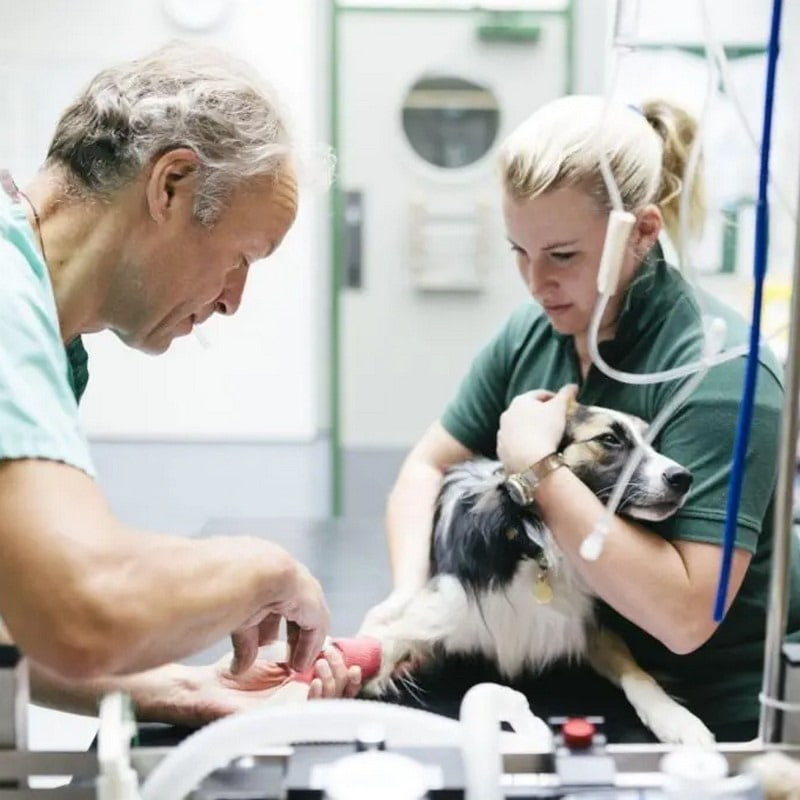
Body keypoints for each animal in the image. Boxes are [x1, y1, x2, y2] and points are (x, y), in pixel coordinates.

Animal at [360, 404, 716, 748]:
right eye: (609, 439)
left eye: (654, 444)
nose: (683, 477)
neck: (538, 544)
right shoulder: (442, 610)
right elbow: (385, 641)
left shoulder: (589, 624)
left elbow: (639, 675)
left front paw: (676, 718)